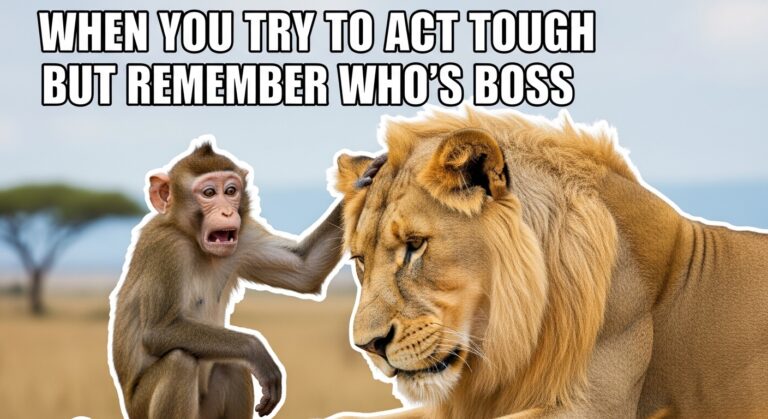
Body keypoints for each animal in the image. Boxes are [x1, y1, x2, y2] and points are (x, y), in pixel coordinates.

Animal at [108, 141, 345, 419]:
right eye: (209, 193)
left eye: (231, 191)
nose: (227, 211)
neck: (194, 242)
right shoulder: (166, 247)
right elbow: (157, 331)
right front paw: (256, 348)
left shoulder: (244, 237)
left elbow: (305, 269)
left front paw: (367, 176)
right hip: (141, 407)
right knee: (180, 362)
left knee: (231, 365)